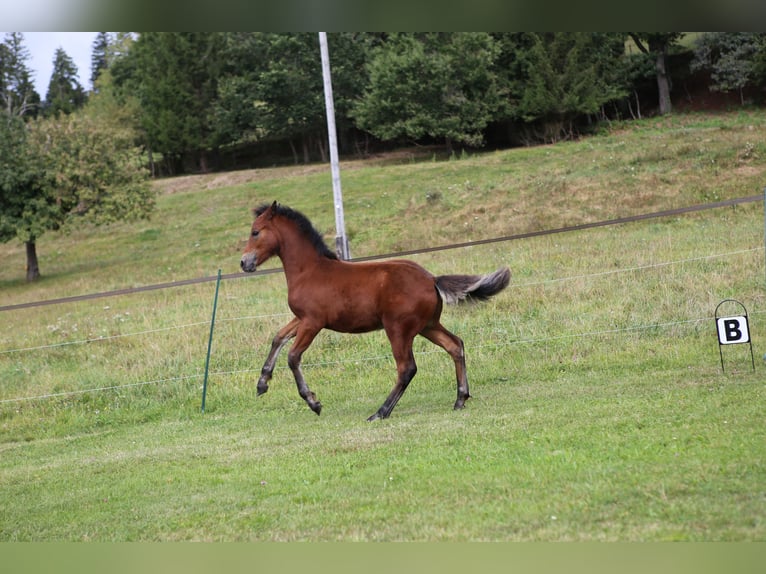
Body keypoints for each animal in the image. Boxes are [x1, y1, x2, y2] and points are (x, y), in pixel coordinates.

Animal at [242, 204, 510, 424]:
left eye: (255, 232)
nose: (244, 263)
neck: (309, 270)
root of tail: (431, 279)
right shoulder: (301, 318)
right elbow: (278, 337)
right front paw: (262, 383)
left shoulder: (313, 322)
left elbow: (293, 356)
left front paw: (313, 402)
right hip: (428, 326)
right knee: (455, 345)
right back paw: (460, 399)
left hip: (398, 329)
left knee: (407, 368)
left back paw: (380, 412)